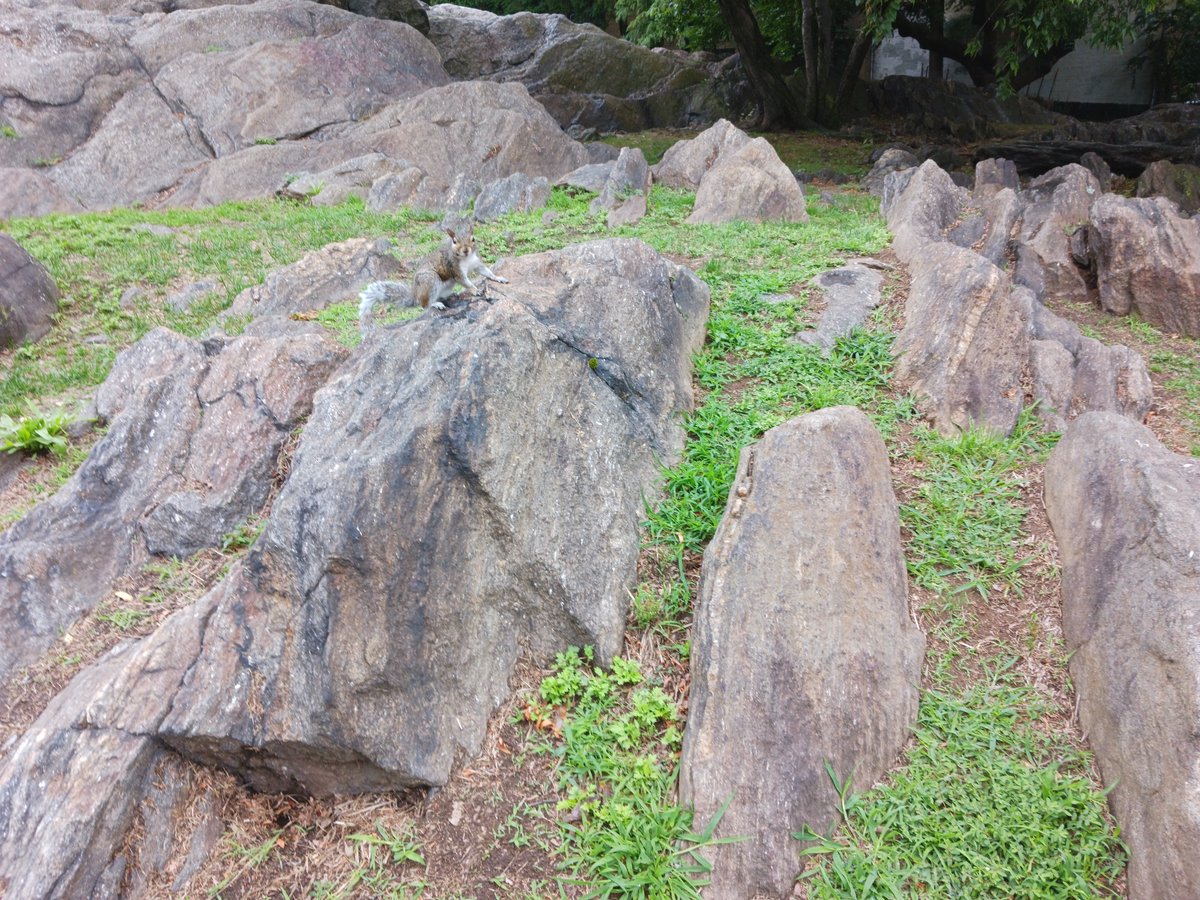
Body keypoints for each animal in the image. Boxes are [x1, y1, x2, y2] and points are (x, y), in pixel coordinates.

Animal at [358, 225, 508, 329]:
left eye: (473, 239)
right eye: (454, 241)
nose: (465, 250)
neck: (467, 258)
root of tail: (415, 295)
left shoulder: (477, 264)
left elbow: (487, 272)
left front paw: (498, 278)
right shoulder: (455, 270)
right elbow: (466, 282)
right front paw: (475, 290)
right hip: (430, 280)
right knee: (424, 304)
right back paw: (435, 304)